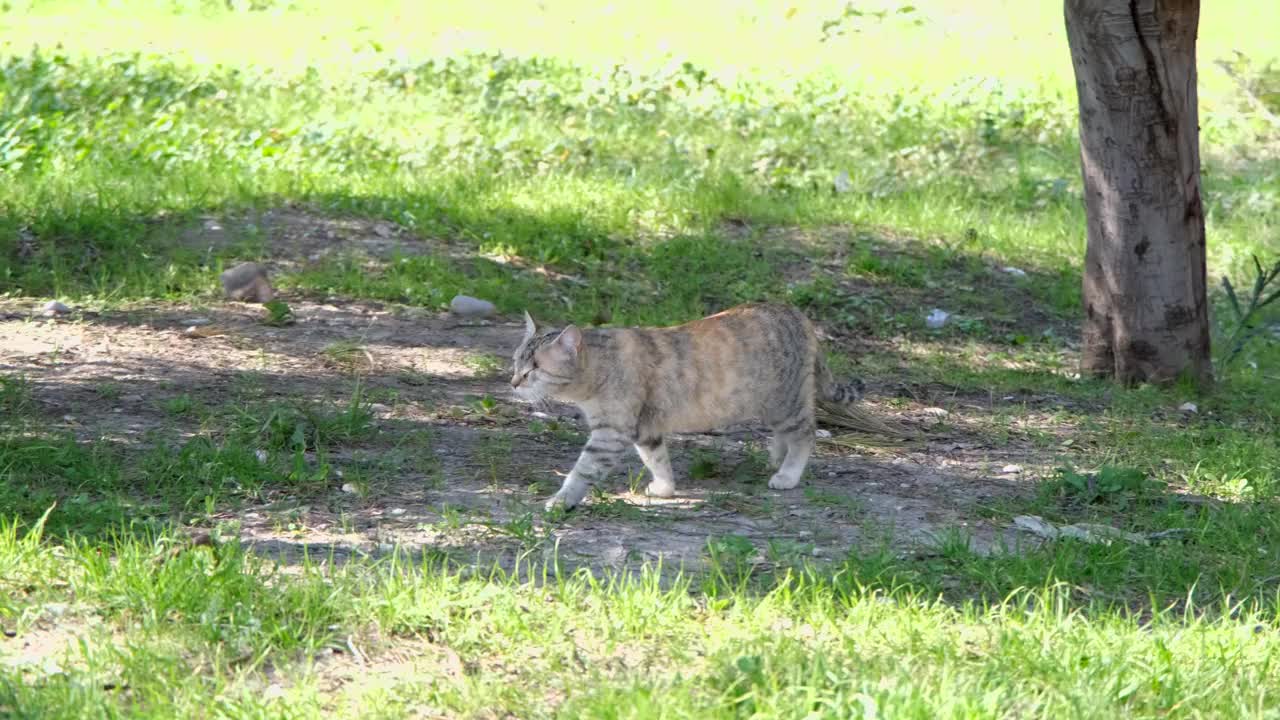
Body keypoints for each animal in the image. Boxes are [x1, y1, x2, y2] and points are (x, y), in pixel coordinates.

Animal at [506, 302, 860, 509]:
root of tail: (796, 313)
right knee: (787, 435)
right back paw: (777, 458)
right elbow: (656, 459)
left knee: (804, 434)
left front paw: (561, 500)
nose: (513, 382)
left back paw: (787, 474)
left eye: (534, 369)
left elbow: (582, 471)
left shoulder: (611, 434)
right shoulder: (644, 429)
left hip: (784, 402)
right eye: (516, 362)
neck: (599, 367)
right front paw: (665, 489)